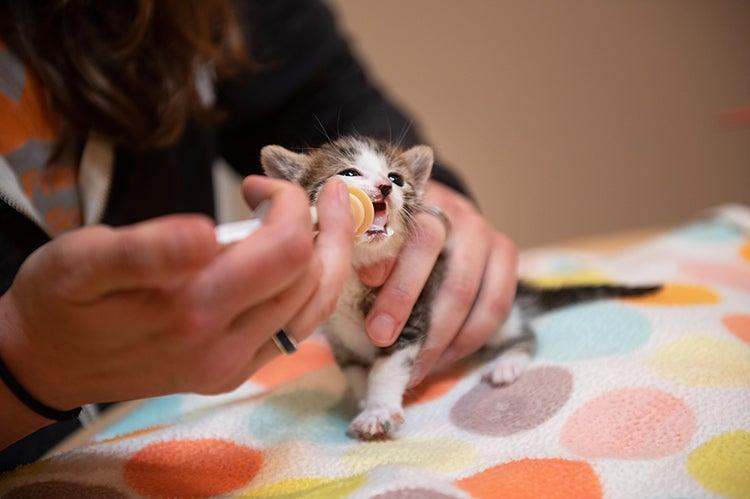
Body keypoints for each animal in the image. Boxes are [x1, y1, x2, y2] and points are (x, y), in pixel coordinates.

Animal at [262, 137, 660, 442]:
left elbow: (387, 369)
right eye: (348, 173)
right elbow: (358, 373)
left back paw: (507, 364)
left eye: (396, 178)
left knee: (526, 336)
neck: (357, 272)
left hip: (501, 317)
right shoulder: (338, 336)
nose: (386, 187)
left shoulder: (411, 317)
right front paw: (365, 401)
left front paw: (378, 409)